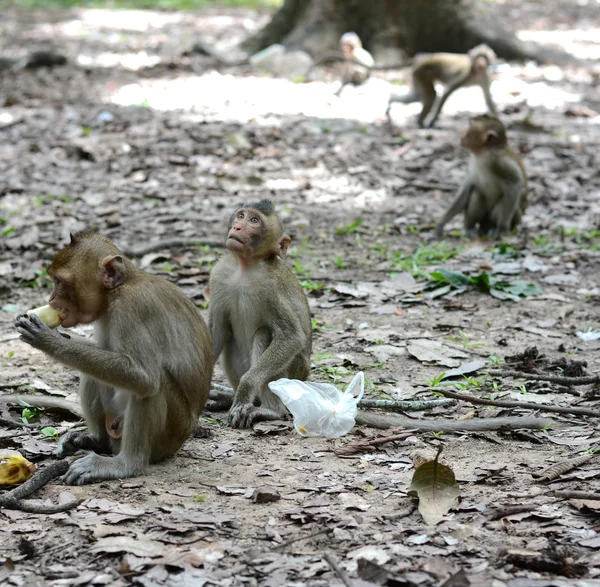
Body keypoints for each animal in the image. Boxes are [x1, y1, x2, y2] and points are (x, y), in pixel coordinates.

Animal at [14, 234, 213, 486]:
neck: (117, 291)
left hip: (170, 434)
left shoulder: (132, 308)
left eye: (59, 281)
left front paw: (50, 341)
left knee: (152, 385)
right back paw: (97, 441)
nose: (51, 298)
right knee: (93, 371)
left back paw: (126, 464)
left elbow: (143, 376)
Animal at [206, 200, 312, 430]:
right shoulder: (219, 275)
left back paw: (269, 410)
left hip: (295, 376)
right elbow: (217, 331)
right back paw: (230, 398)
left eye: (254, 221)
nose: (237, 227)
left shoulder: (270, 288)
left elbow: (291, 336)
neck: (245, 268)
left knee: (265, 332)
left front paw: (245, 390)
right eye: (241, 216)